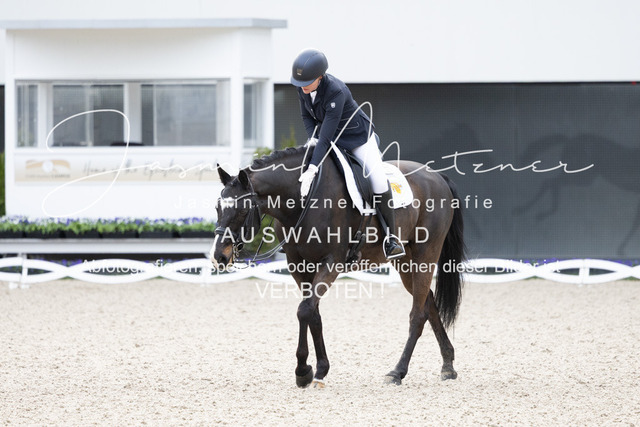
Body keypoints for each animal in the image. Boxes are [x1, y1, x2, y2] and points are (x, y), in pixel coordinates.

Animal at [210, 145, 466, 387]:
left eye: (242, 210)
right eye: (217, 208)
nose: (219, 257)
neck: (303, 200)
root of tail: (437, 175)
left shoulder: (332, 262)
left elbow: (304, 310)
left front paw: (303, 371)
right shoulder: (298, 266)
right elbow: (312, 313)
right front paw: (319, 369)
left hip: (426, 252)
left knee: (418, 314)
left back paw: (397, 372)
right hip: (404, 260)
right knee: (428, 302)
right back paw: (448, 365)